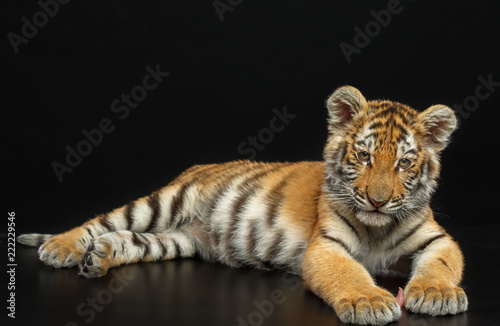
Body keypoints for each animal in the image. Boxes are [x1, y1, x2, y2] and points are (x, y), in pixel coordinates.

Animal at [16, 85, 468, 324]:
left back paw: (99, 257)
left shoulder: (437, 239)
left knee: (130, 239)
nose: (378, 200)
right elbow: (348, 272)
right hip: (164, 202)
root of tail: (195, 168)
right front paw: (369, 302)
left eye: (404, 162)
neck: (377, 227)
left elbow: (441, 265)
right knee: (103, 221)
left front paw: (437, 294)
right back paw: (62, 248)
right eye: (364, 156)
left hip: (178, 240)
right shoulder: (326, 246)